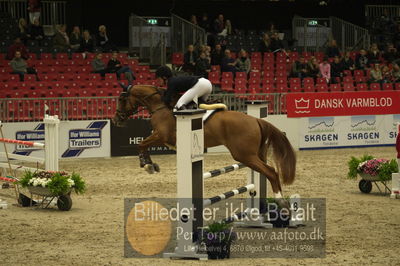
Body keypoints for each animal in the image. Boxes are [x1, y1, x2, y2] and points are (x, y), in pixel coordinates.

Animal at [112, 85, 296, 202]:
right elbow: (143, 144)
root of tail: (257, 120)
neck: (160, 106)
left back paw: (280, 201)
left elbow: (141, 144)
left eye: (121, 99)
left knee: (271, 172)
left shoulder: (161, 135)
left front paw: (147, 164)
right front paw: (150, 164)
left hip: (244, 155)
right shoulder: (160, 137)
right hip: (255, 153)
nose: (116, 120)